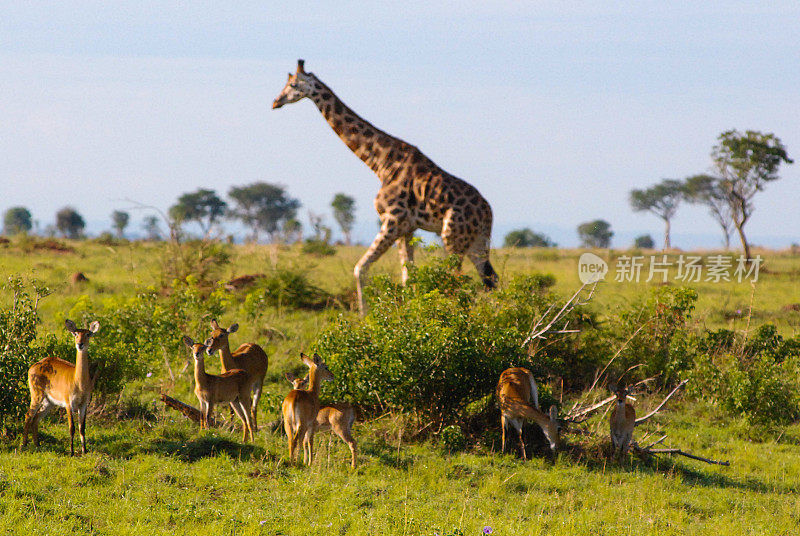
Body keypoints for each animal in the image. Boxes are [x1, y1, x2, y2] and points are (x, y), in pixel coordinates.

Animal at [23, 320, 100, 454]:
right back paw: (23, 446)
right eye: (75, 333)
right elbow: (72, 427)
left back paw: (37, 445)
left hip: (49, 402)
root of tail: (35, 365)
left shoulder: (83, 404)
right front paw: (72, 452)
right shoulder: (69, 404)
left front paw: (84, 451)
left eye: (88, 334)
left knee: (36, 418)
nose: (80, 344)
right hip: (36, 396)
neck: (79, 382)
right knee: (29, 416)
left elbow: (82, 428)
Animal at [272, 61, 496, 314]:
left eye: (292, 84)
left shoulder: (393, 219)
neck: (381, 164)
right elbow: (408, 276)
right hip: (477, 241)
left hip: (453, 236)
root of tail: (487, 212)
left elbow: (360, 268)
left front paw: (364, 316)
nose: (275, 102)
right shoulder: (407, 227)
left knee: (456, 279)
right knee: (490, 280)